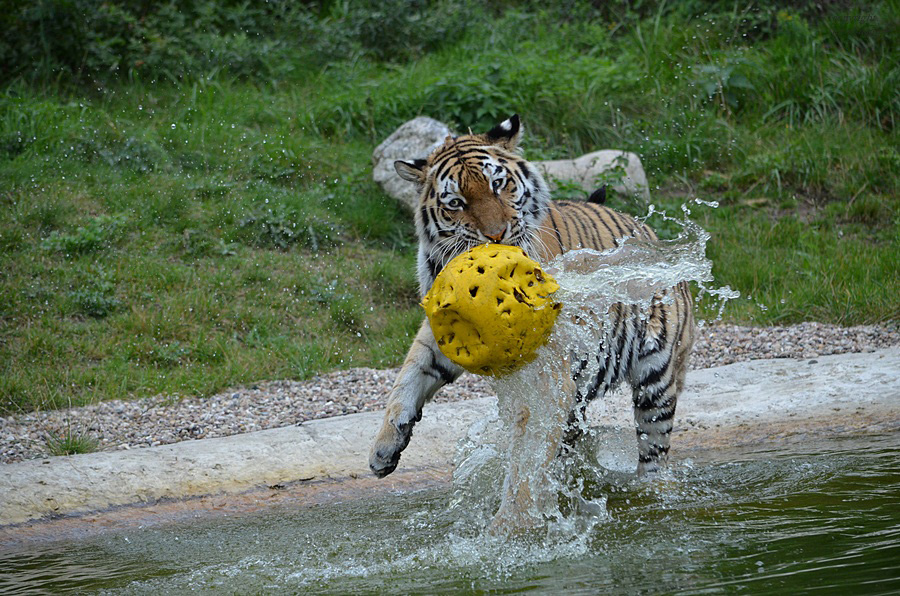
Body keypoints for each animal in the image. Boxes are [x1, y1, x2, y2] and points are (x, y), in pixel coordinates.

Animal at [368, 115, 696, 484]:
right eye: (456, 203)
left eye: (498, 184)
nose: (496, 235)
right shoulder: (444, 333)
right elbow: (408, 378)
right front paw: (384, 448)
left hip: (658, 379)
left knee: (653, 446)